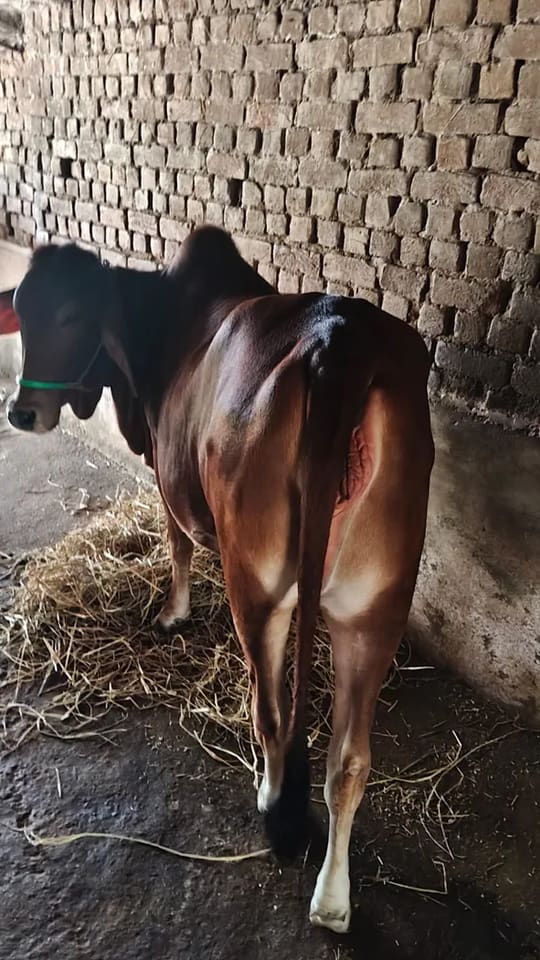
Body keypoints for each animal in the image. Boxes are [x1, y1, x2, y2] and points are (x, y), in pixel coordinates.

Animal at [7, 226, 434, 933]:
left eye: (68, 316)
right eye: (22, 309)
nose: (21, 411)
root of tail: (337, 340)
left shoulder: (163, 466)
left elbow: (177, 540)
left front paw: (173, 611)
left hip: (259, 585)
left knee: (271, 712)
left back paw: (270, 798)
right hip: (377, 602)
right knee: (348, 761)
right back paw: (332, 900)